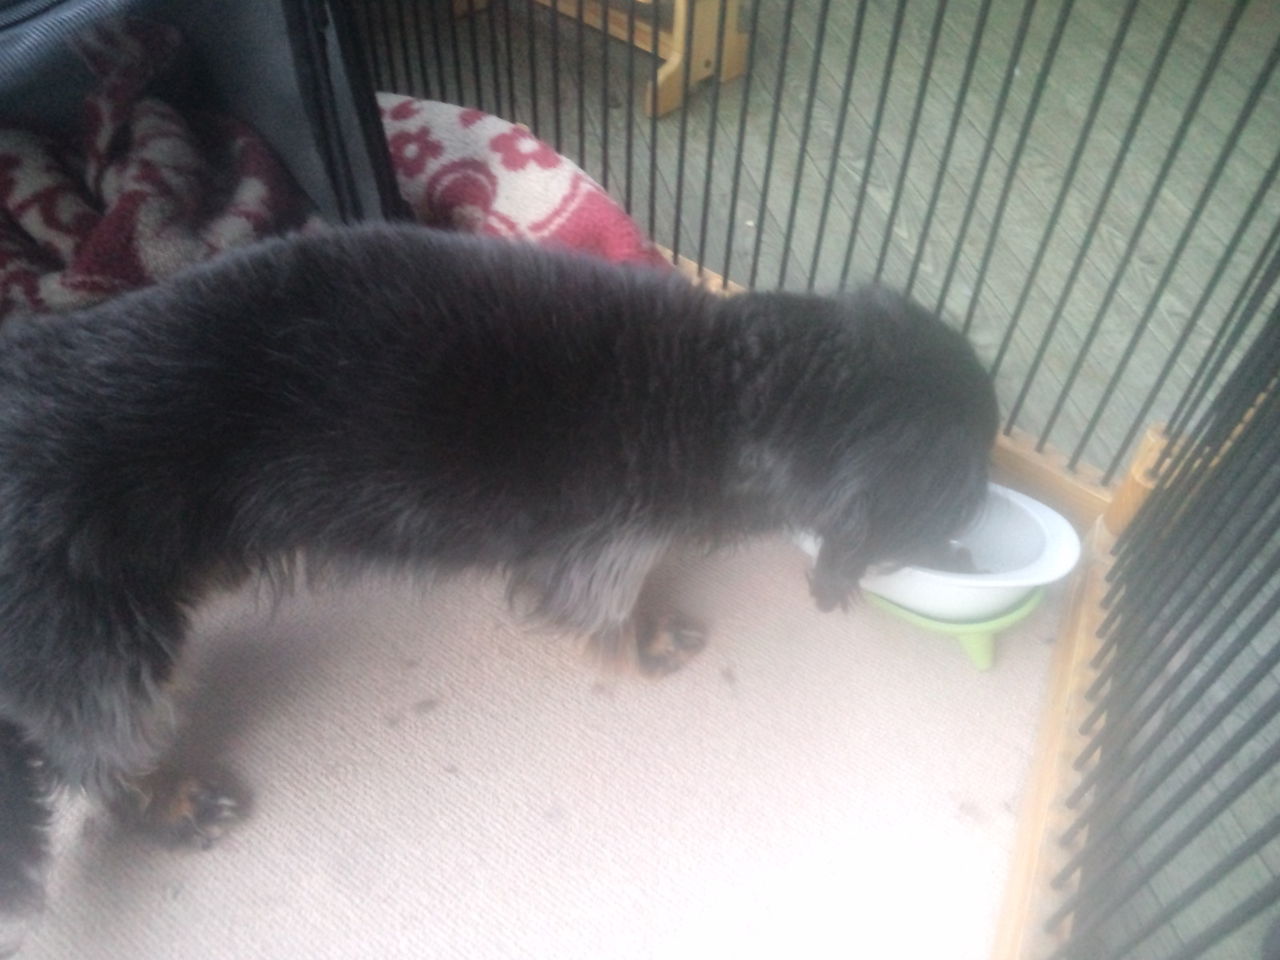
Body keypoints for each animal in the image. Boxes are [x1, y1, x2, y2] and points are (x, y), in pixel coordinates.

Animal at [0, 223, 996, 951]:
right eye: (965, 478)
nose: (981, 517)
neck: (723, 387)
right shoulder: (603, 545)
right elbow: (611, 608)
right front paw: (649, 640)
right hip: (101, 638)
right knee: (95, 749)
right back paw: (169, 800)